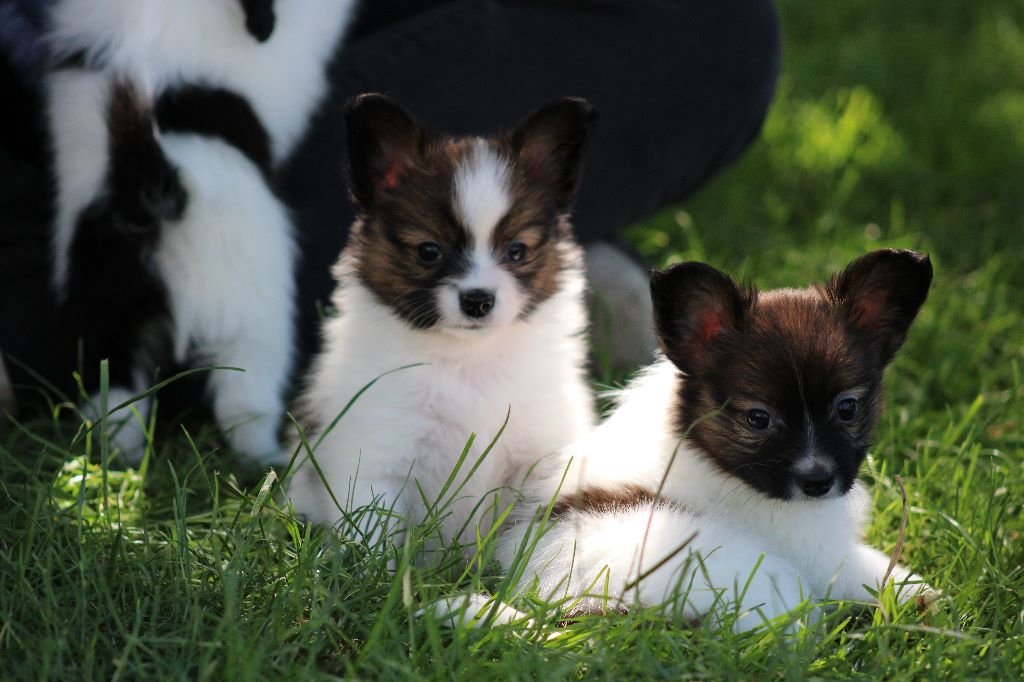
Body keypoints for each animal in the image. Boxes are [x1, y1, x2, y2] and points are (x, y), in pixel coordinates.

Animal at [46, 0, 358, 462]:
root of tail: (153, 183)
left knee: (115, 398)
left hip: (106, 308)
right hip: (252, 320)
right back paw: (267, 459)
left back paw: (120, 463)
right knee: (242, 405)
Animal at [284, 94, 598, 552]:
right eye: (428, 251)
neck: (469, 360)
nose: (478, 300)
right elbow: (372, 538)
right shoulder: (379, 457)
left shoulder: (538, 458)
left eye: (517, 251)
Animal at [446, 249, 929, 630]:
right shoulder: (818, 554)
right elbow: (868, 571)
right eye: (758, 419)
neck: (708, 449)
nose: (817, 482)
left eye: (847, 409)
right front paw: (918, 592)